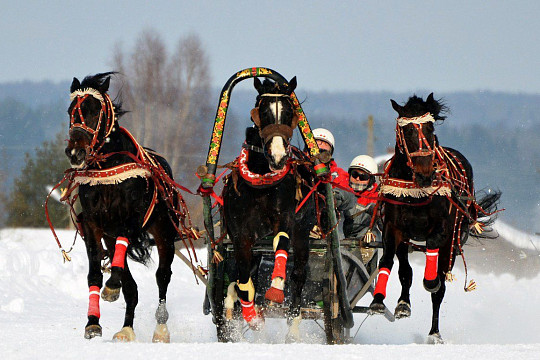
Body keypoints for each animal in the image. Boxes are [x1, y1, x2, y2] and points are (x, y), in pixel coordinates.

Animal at [65, 71, 190, 342]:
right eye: (71, 111)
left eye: (94, 110)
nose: (75, 152)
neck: (109, 174)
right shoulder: (93, 224)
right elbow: (96, 273)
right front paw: (92, 323)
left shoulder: (132, 218)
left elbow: (123, 256)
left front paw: (111, 285)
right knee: (130, 286)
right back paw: (126, 328)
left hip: (164, 232)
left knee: (162, 276)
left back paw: (161, 328)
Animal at [220, 76, 316, 338]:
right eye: (263, 112)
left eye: (289, 112)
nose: (278, 157)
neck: (261, 183)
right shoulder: (241, 235)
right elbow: (243, 279)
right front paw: (252, 316)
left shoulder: (284, 218)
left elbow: (281, 243)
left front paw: (275, 289)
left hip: (303, 234)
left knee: (299, 275)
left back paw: (293, 327)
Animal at [370, 93, 500, 344]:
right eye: (407, 130)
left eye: (430, 128)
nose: (425, 173)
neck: (415, 190)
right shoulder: (394, 227)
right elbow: (389, 261)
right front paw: (378, 301)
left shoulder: (444, 228)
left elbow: (433, 252)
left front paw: (431, 281)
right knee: (405, 271)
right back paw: (403, 304)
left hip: (454, 241)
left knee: (439, 286)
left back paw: (434, 332)